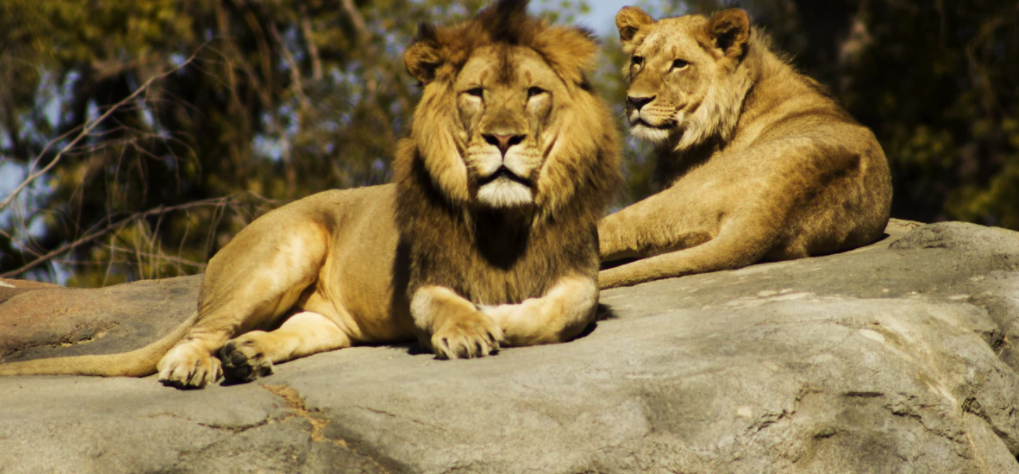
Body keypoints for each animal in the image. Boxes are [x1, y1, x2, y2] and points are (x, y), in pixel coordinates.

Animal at [0, 0, 621, 389]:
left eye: (534, 93)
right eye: (476, 94)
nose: (503, 138)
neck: (505, 218)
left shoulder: (578, 273)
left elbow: (561, 311)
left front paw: (499, 316)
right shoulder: (426, 280)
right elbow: (449, 304)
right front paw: (472, 327)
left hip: (326, 321)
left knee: (287, 331)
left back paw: (246, 355)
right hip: (286, 249)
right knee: (197, 334)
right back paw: (196, 365)